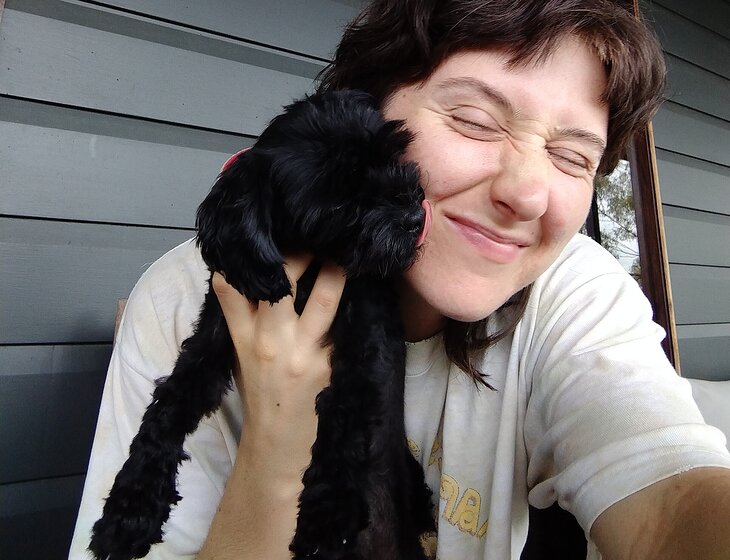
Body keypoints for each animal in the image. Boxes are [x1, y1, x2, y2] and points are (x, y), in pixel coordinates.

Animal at [89, 90, 436, 560]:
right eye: (340, 200)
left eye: (393, 156)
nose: (413, 216)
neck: (311, 271)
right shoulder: (211, 340)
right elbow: (166, 407)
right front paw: (128, 511)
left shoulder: (368, 348)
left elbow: (345, 417)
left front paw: (326, 520)